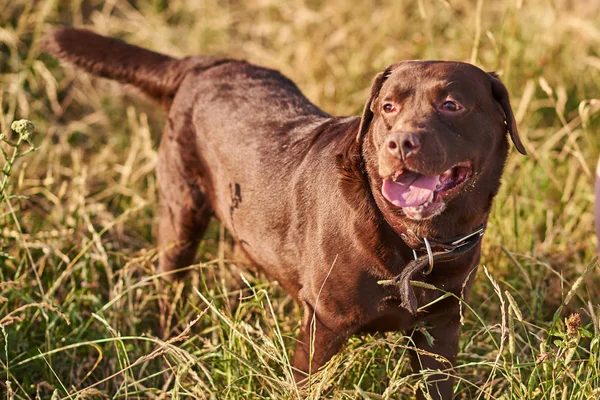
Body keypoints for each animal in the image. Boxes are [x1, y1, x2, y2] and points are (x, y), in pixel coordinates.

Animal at [44, 27, 524, 396]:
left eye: (451, 105)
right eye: (388, 107)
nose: (399, 142)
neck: (415, 241)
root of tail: (205, 63)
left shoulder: (440, 329)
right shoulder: (323, 326)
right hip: (180, 214)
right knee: (171, 287)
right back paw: (167, 351)